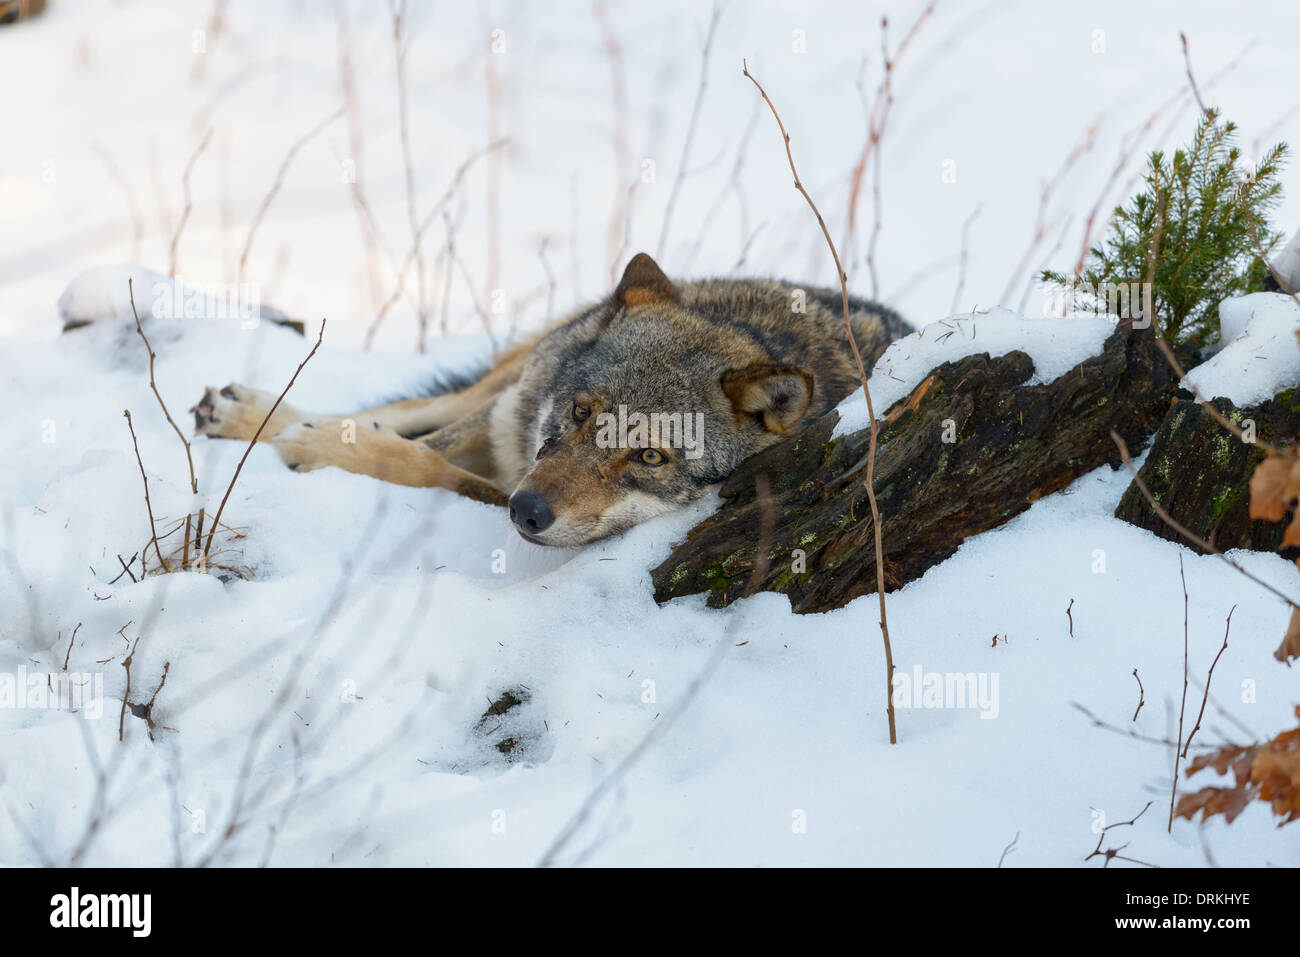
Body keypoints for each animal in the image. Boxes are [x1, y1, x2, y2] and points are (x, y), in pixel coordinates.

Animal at [191, 253, 909, 546]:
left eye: (649, 457)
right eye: (581, 413)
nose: (528, 511)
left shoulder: (495, 485)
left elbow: (428, 466)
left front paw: (316, 448)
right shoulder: (504, 428)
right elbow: (421, 450)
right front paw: (310, 439)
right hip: (510, 384)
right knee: (407, 409)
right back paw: (254, 414)